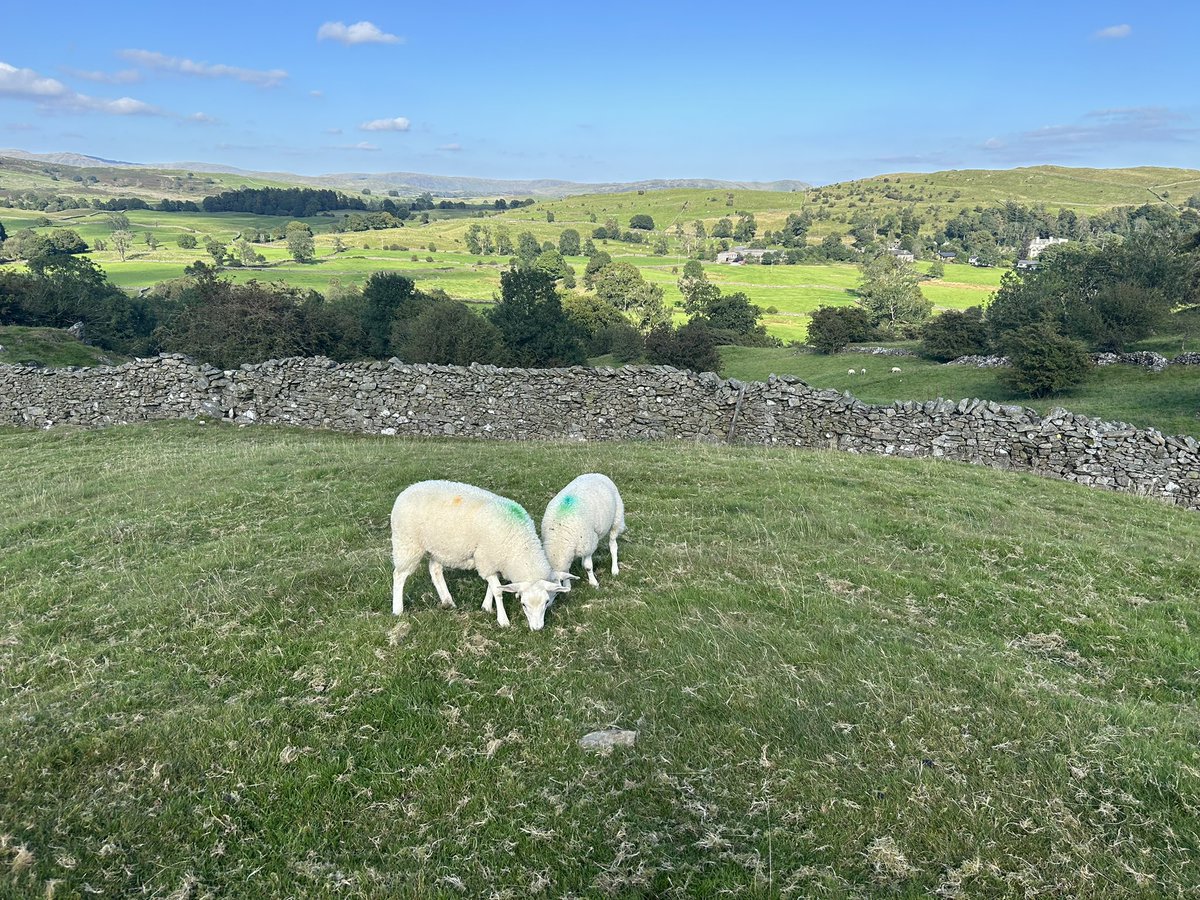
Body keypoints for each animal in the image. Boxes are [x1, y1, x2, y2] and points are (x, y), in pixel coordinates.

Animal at [390, 480, 572, 630]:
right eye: (524, 605)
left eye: (546, 602)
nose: (537, 629)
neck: (518, 544)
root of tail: (407, 490)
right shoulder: (486, 559)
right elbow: (498, 591)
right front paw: (503, 620)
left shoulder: (492, 560)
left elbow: (493, 586)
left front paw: (486, 606)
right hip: (407, 544)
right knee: (399, 575)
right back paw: (398, 609)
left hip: (438, 548)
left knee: (434, 570)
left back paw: (447, 601)